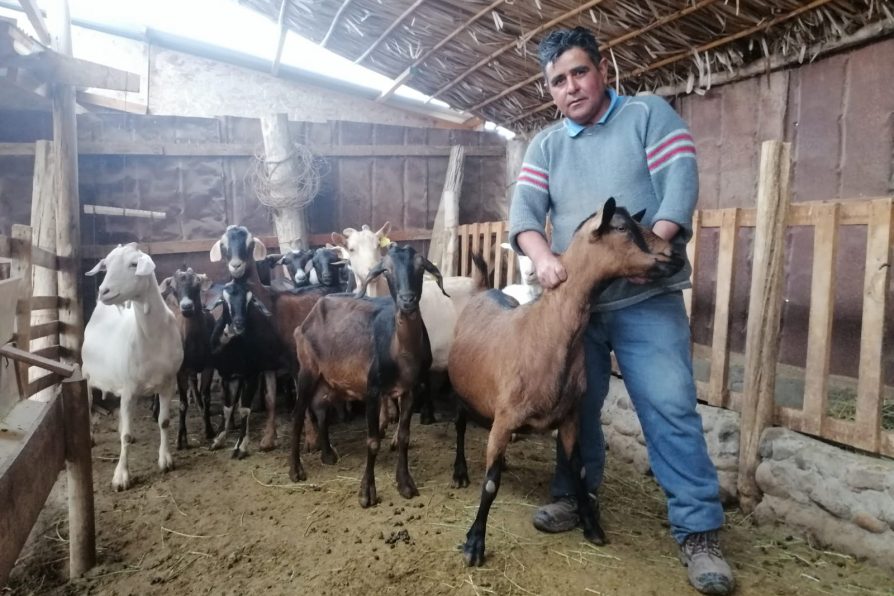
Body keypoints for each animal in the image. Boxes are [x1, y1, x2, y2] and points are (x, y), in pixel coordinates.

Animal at [83, 242, 185, 488]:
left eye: (133, 264)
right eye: (106, 265)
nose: (104, 291)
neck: (151, 338)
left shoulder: (168, 383)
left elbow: (164, 422)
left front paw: (165, 460)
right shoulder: (129, 387)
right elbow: (126, 437)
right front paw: (121, 476)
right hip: (86, 374)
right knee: (88, 405)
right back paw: (90, 437)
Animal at [292, 244, 446, 510]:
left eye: (421, 267)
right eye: (387, 270)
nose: (407, 300)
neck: (400, 351)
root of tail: (308, 318)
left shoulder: (410, 389)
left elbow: (404, 436)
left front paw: (405, 484)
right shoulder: (373, 390)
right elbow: (372, 441)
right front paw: (367, 493)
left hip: (329, 379)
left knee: (320, 408)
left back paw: (327, 454)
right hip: (308, 368)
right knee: (299, 413)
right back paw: (295, 470)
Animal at [448, 198, 688, 564]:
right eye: (621, 228)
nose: (676, 254)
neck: (547, 331)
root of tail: (483, 290)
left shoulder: (571, 416)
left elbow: (580, 473)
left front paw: (591, 526)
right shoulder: (504, 418)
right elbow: (489, 485)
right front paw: (474, 543)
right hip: (462, 391)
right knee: (461, 427)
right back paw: (460, 472)